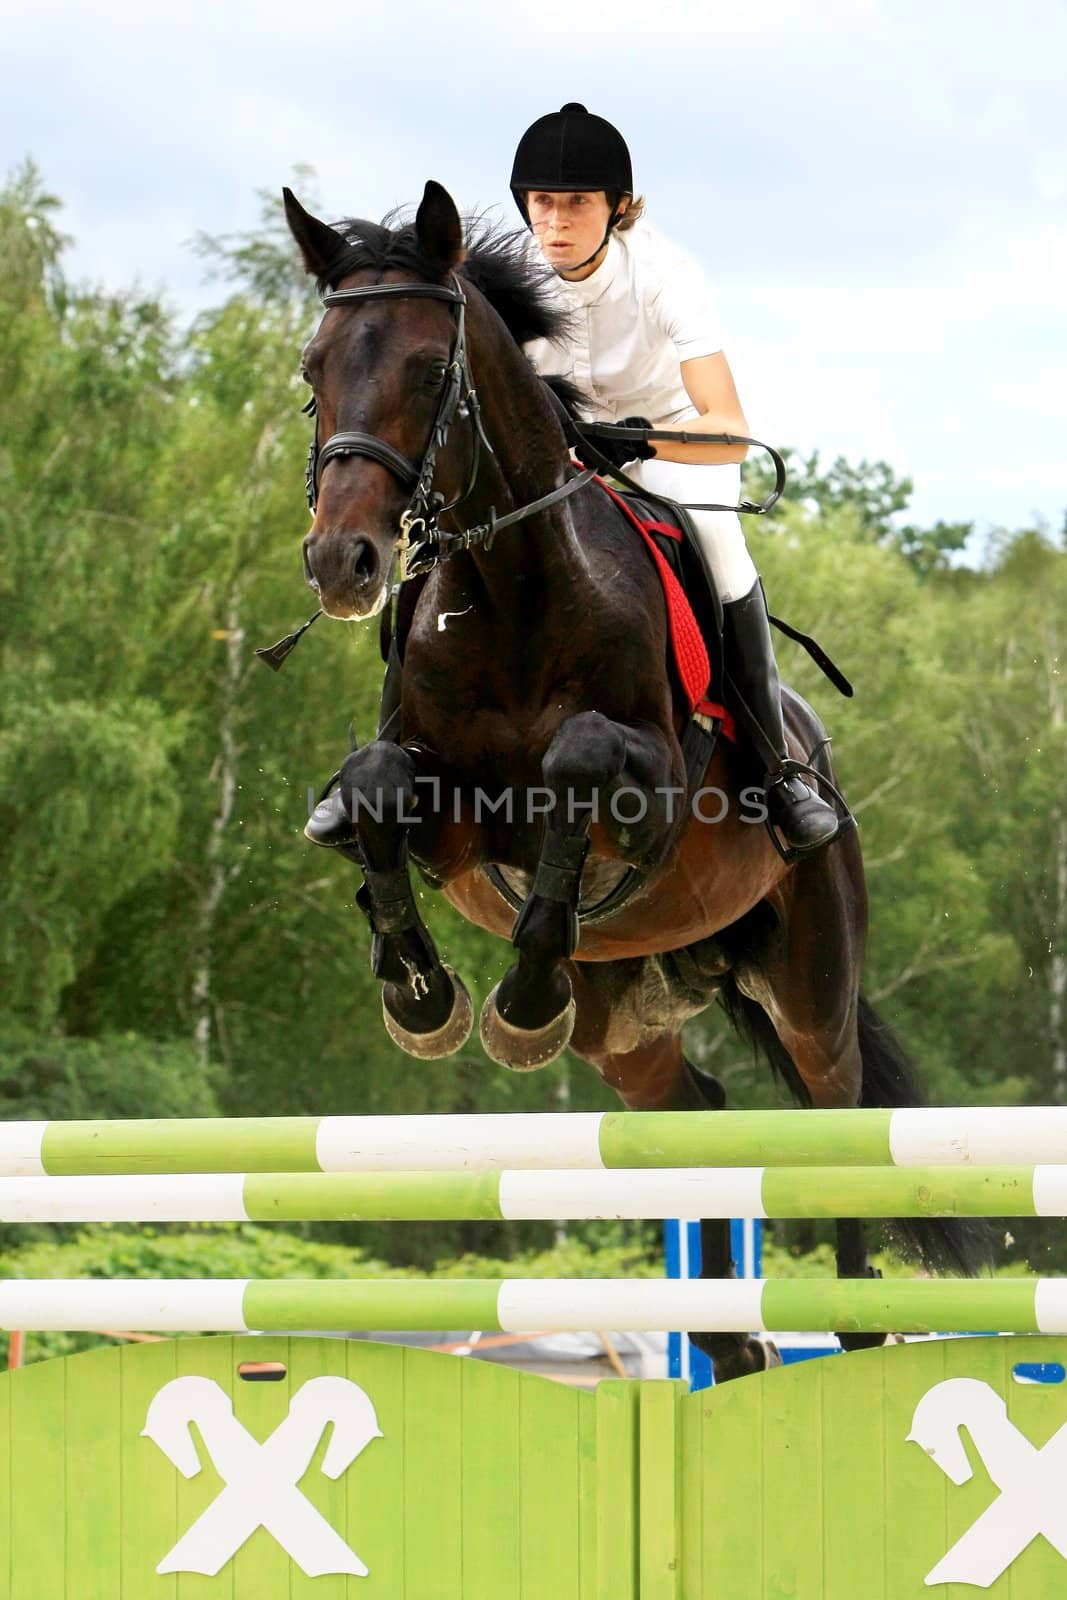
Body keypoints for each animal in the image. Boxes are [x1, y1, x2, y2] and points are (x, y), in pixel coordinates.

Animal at [279, 172, 979, 1376]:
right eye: (315, 369)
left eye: (426, 369)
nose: (343, 562)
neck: (510, 587)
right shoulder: (446, 820)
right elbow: (372, 788)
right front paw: (423, 993)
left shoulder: (645, 800)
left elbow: (575, 759)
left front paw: (515, 997)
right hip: (624, 1030)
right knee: (694, 1110)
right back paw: (730, 1342)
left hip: (811, 981)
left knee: (832, 1117)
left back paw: (848, 1326)